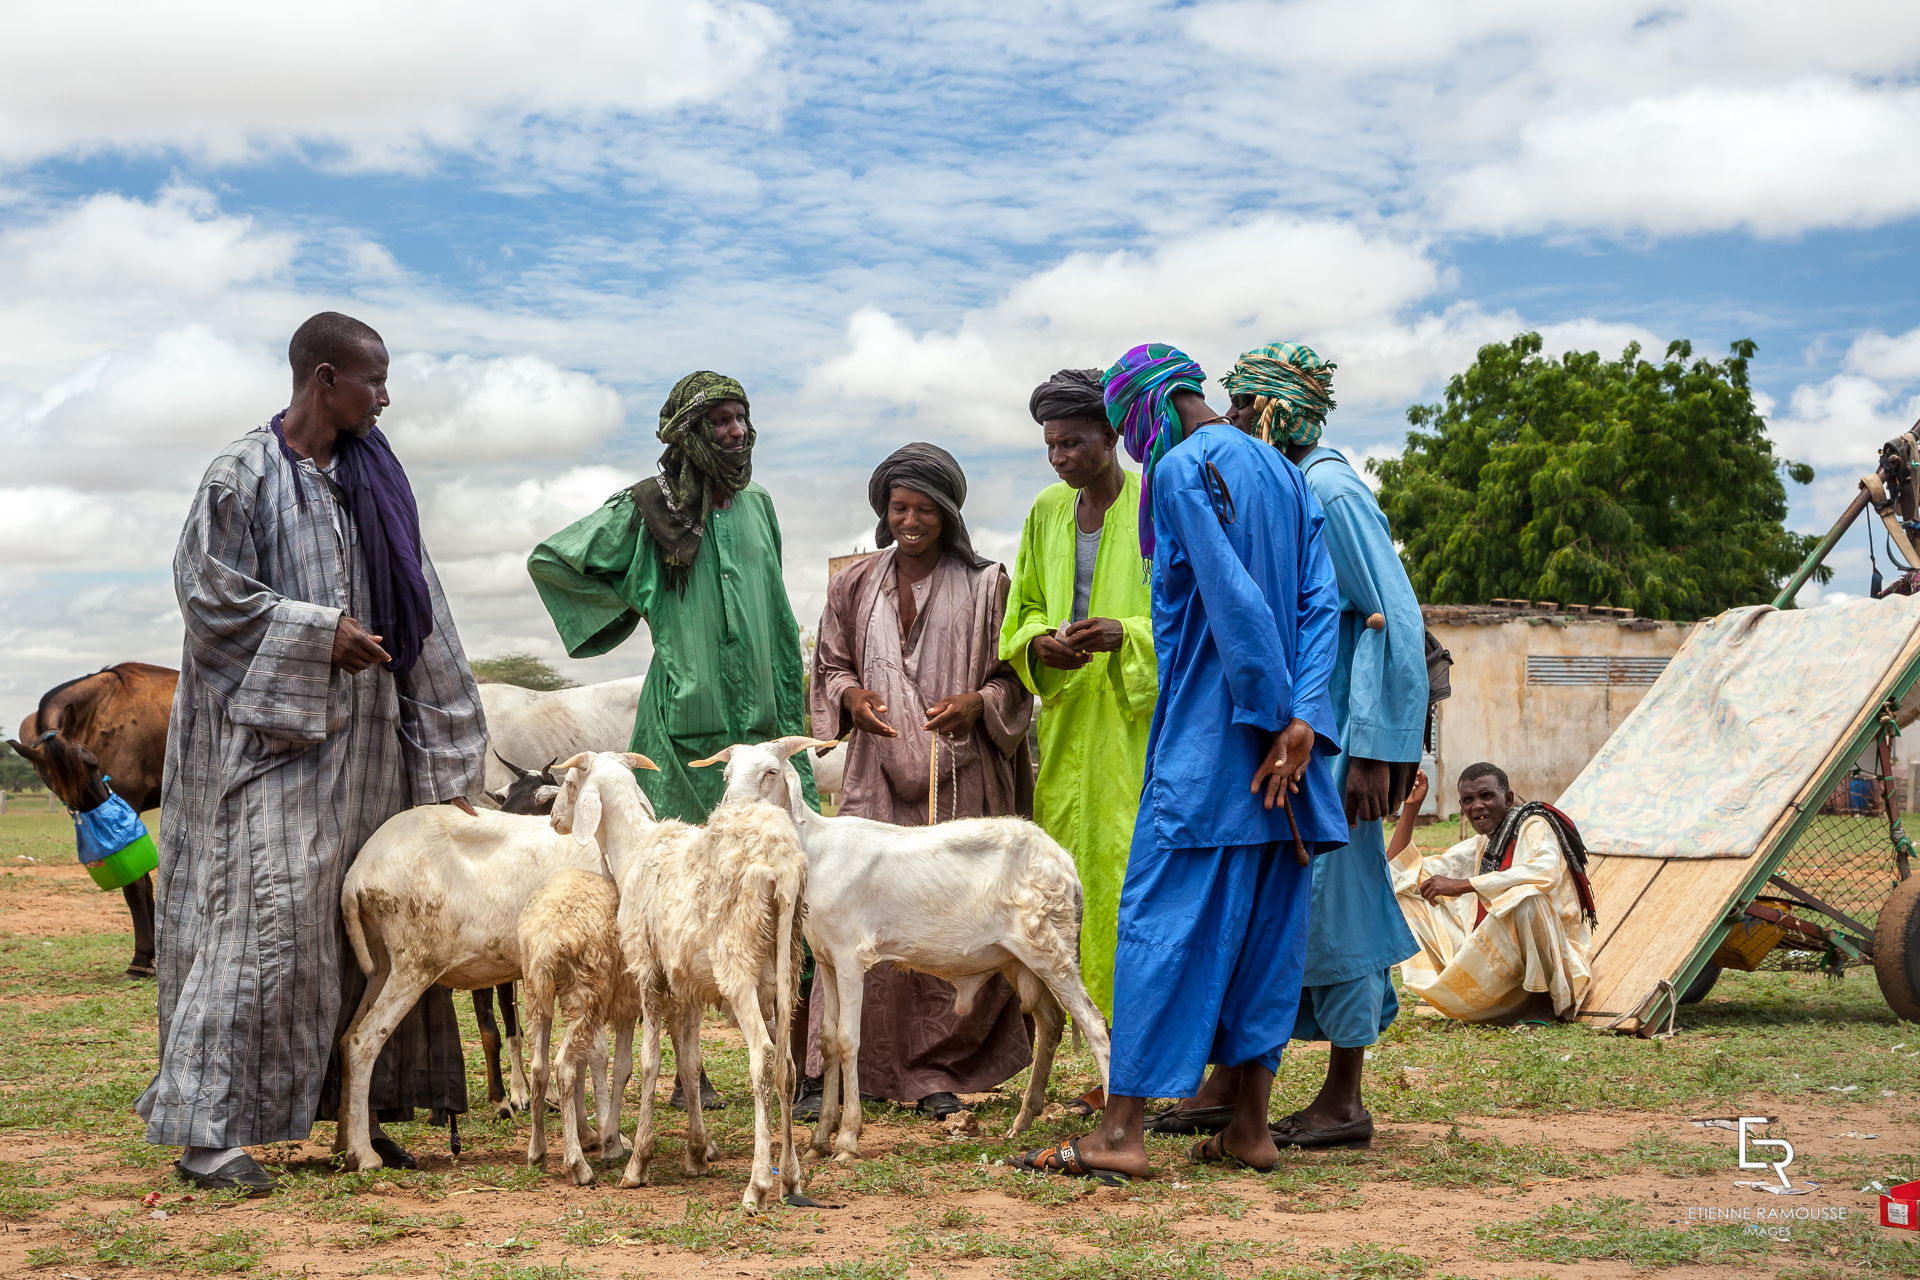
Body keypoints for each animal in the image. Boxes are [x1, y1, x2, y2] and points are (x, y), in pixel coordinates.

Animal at [9, 667, 175, 974]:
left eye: (92, 762)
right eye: (56, 783)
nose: (105, 818)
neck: (101, 705)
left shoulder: (130, 802)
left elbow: (135, 887)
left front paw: (140, 960)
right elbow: (143, 884)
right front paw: (151, 955)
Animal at [332, 756, 660, 1174]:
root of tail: (357, 875)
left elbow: (580, 1057)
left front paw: (588, 1135)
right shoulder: (593, 964)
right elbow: (595, 1057)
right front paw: (605, 1137)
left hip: (381, 964)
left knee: (346, 1038)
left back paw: (343, 1144)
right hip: (414, 963)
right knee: (364, 1042)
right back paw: (364, 1153)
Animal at [549, 752, 810, 1212]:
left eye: (569, 784)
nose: (553, 818)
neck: (634, 849)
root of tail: (780, 863)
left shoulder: (648, 970)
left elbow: (649, 1061)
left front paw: (638, 1162)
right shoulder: (687, 988)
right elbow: (689, 1062)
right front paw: (696, 1153)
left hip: (738, 967)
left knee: (762, 1058)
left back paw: (758, 1184)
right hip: (786, 969)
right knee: (787, 1065)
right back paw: (791, 1178)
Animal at [695, 736, 1113, 1166]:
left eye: (770, 772)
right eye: (727, 775)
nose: (731, 815)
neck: (817, 853)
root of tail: (1064, 863)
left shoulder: (850, 957)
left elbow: (848, 1040)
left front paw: (847, 1139)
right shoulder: (827, 959)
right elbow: (826, 1042)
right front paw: (819, 1139)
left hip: (1050, 948)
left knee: (1095, 1025)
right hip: (1018, 959)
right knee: (1051, 1023)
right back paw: (1024, 1120)